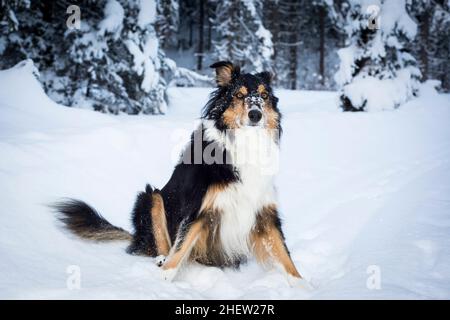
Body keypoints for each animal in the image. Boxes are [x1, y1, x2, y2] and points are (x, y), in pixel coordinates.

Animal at [54, 61, 304, 286]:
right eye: (239, 95)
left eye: (264, 96)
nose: (255, 115)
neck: (245, 143)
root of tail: (137, 237)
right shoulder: (198, 208)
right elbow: (182, 243)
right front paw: (163, 278)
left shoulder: (264, 211)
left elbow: (283, 251)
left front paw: (301, 285)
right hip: (151, 197)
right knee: (161, 244)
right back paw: (161, 259)